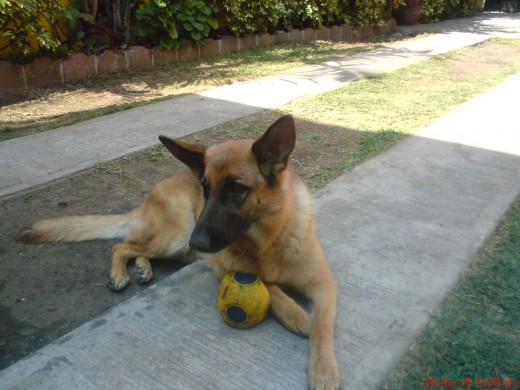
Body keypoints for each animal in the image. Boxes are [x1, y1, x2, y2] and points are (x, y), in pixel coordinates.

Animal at [17, 114, 342, 388]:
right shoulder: (223, 268)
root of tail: (148, 197)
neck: (269, 240)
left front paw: (324, 369)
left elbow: (322, 327)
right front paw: (297, 315)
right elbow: (270, 286)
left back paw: (143, 269)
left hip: (176, 246)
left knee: (136, 248)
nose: (197, 242)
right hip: (174, 236)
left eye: (237, 189)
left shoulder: (324, 285)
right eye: (205, 189)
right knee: (122, 245)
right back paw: (120, 274)